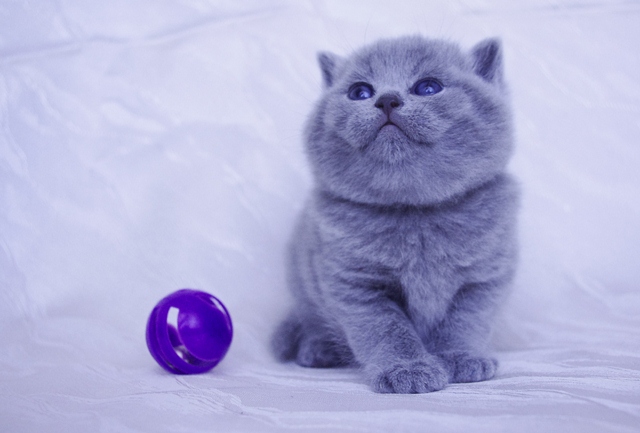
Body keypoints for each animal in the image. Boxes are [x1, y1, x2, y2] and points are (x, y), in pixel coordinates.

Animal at [271, 35, 518, 394]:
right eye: (359, 92)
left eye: (428, 87)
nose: (387, 99)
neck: (415, 213)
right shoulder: (356, 284)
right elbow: (388, 329)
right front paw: (408, 369)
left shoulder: (485, 278)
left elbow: (465, 322)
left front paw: (459, 358)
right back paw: (317, 349)